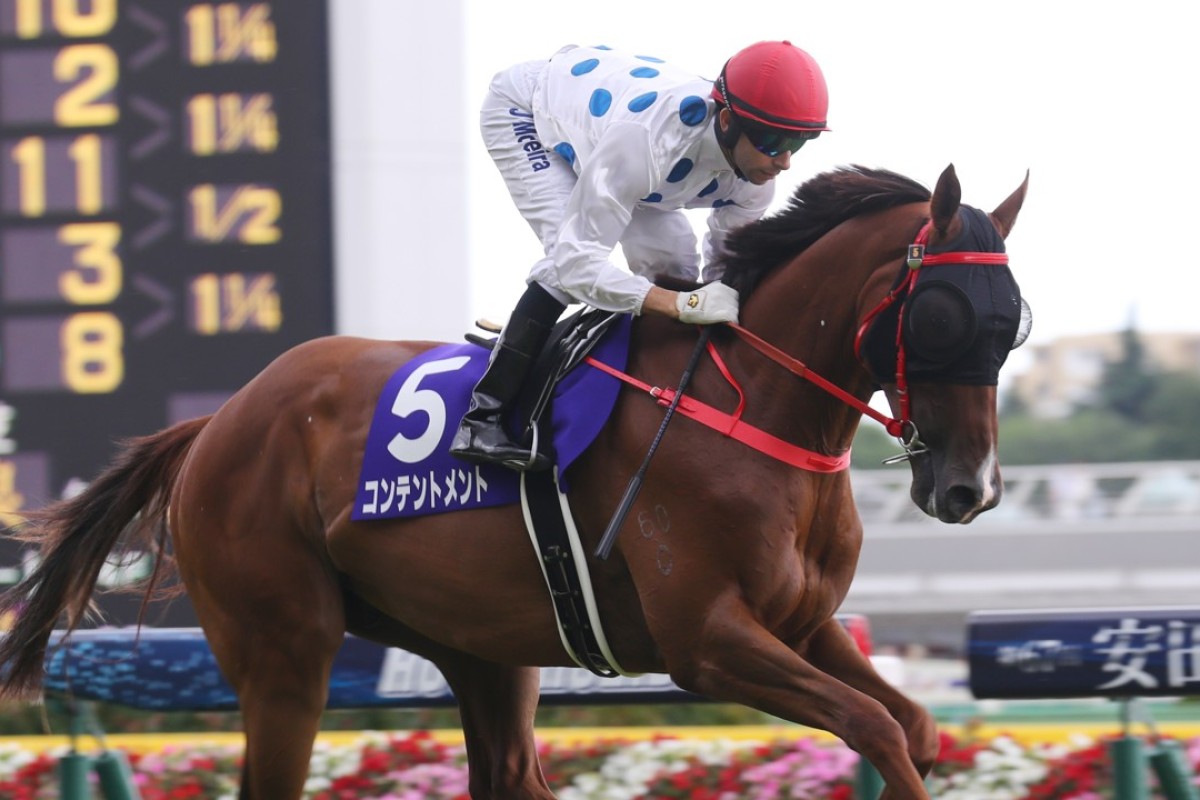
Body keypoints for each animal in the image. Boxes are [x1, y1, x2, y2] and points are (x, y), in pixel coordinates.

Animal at [2, 165, 1032, 796]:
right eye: (942, 313)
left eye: (1013, 319)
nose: (970, 488)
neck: (755, 409)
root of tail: (217, 422)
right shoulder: (708, 641)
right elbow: (876, 728)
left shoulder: (803, 624)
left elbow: (909, 725)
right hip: (283, 648)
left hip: (480, 644)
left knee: (506, 771)